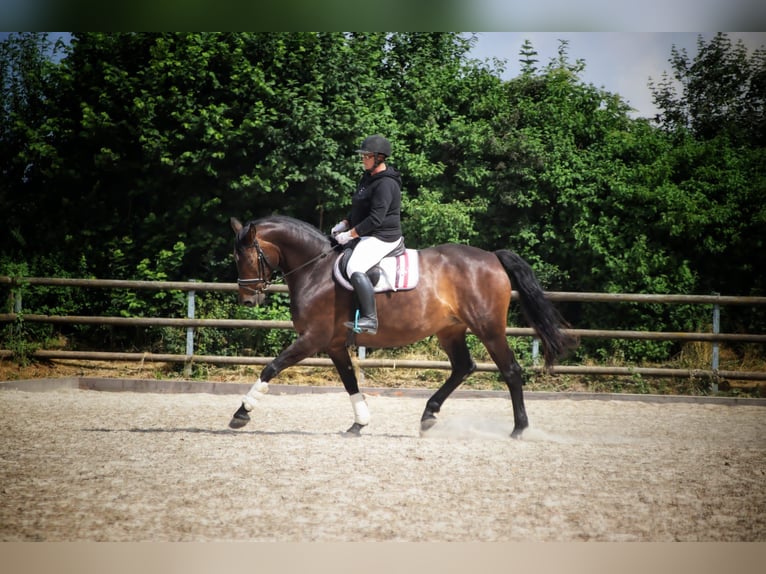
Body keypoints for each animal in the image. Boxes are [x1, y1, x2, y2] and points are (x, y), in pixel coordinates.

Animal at [228, 214, 576, 438]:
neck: (316, 268)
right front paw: (360, 424)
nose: (247, 300)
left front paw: (241, 413)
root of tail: (491, 257)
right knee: (464, 367)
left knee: (511, 371)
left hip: (488, 329)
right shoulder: (334, 344)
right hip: (450, 330)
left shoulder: (313, 338)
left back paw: (519, 429)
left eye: (246, 257)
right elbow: (350, 383)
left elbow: (272, 367)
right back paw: (428, 416)